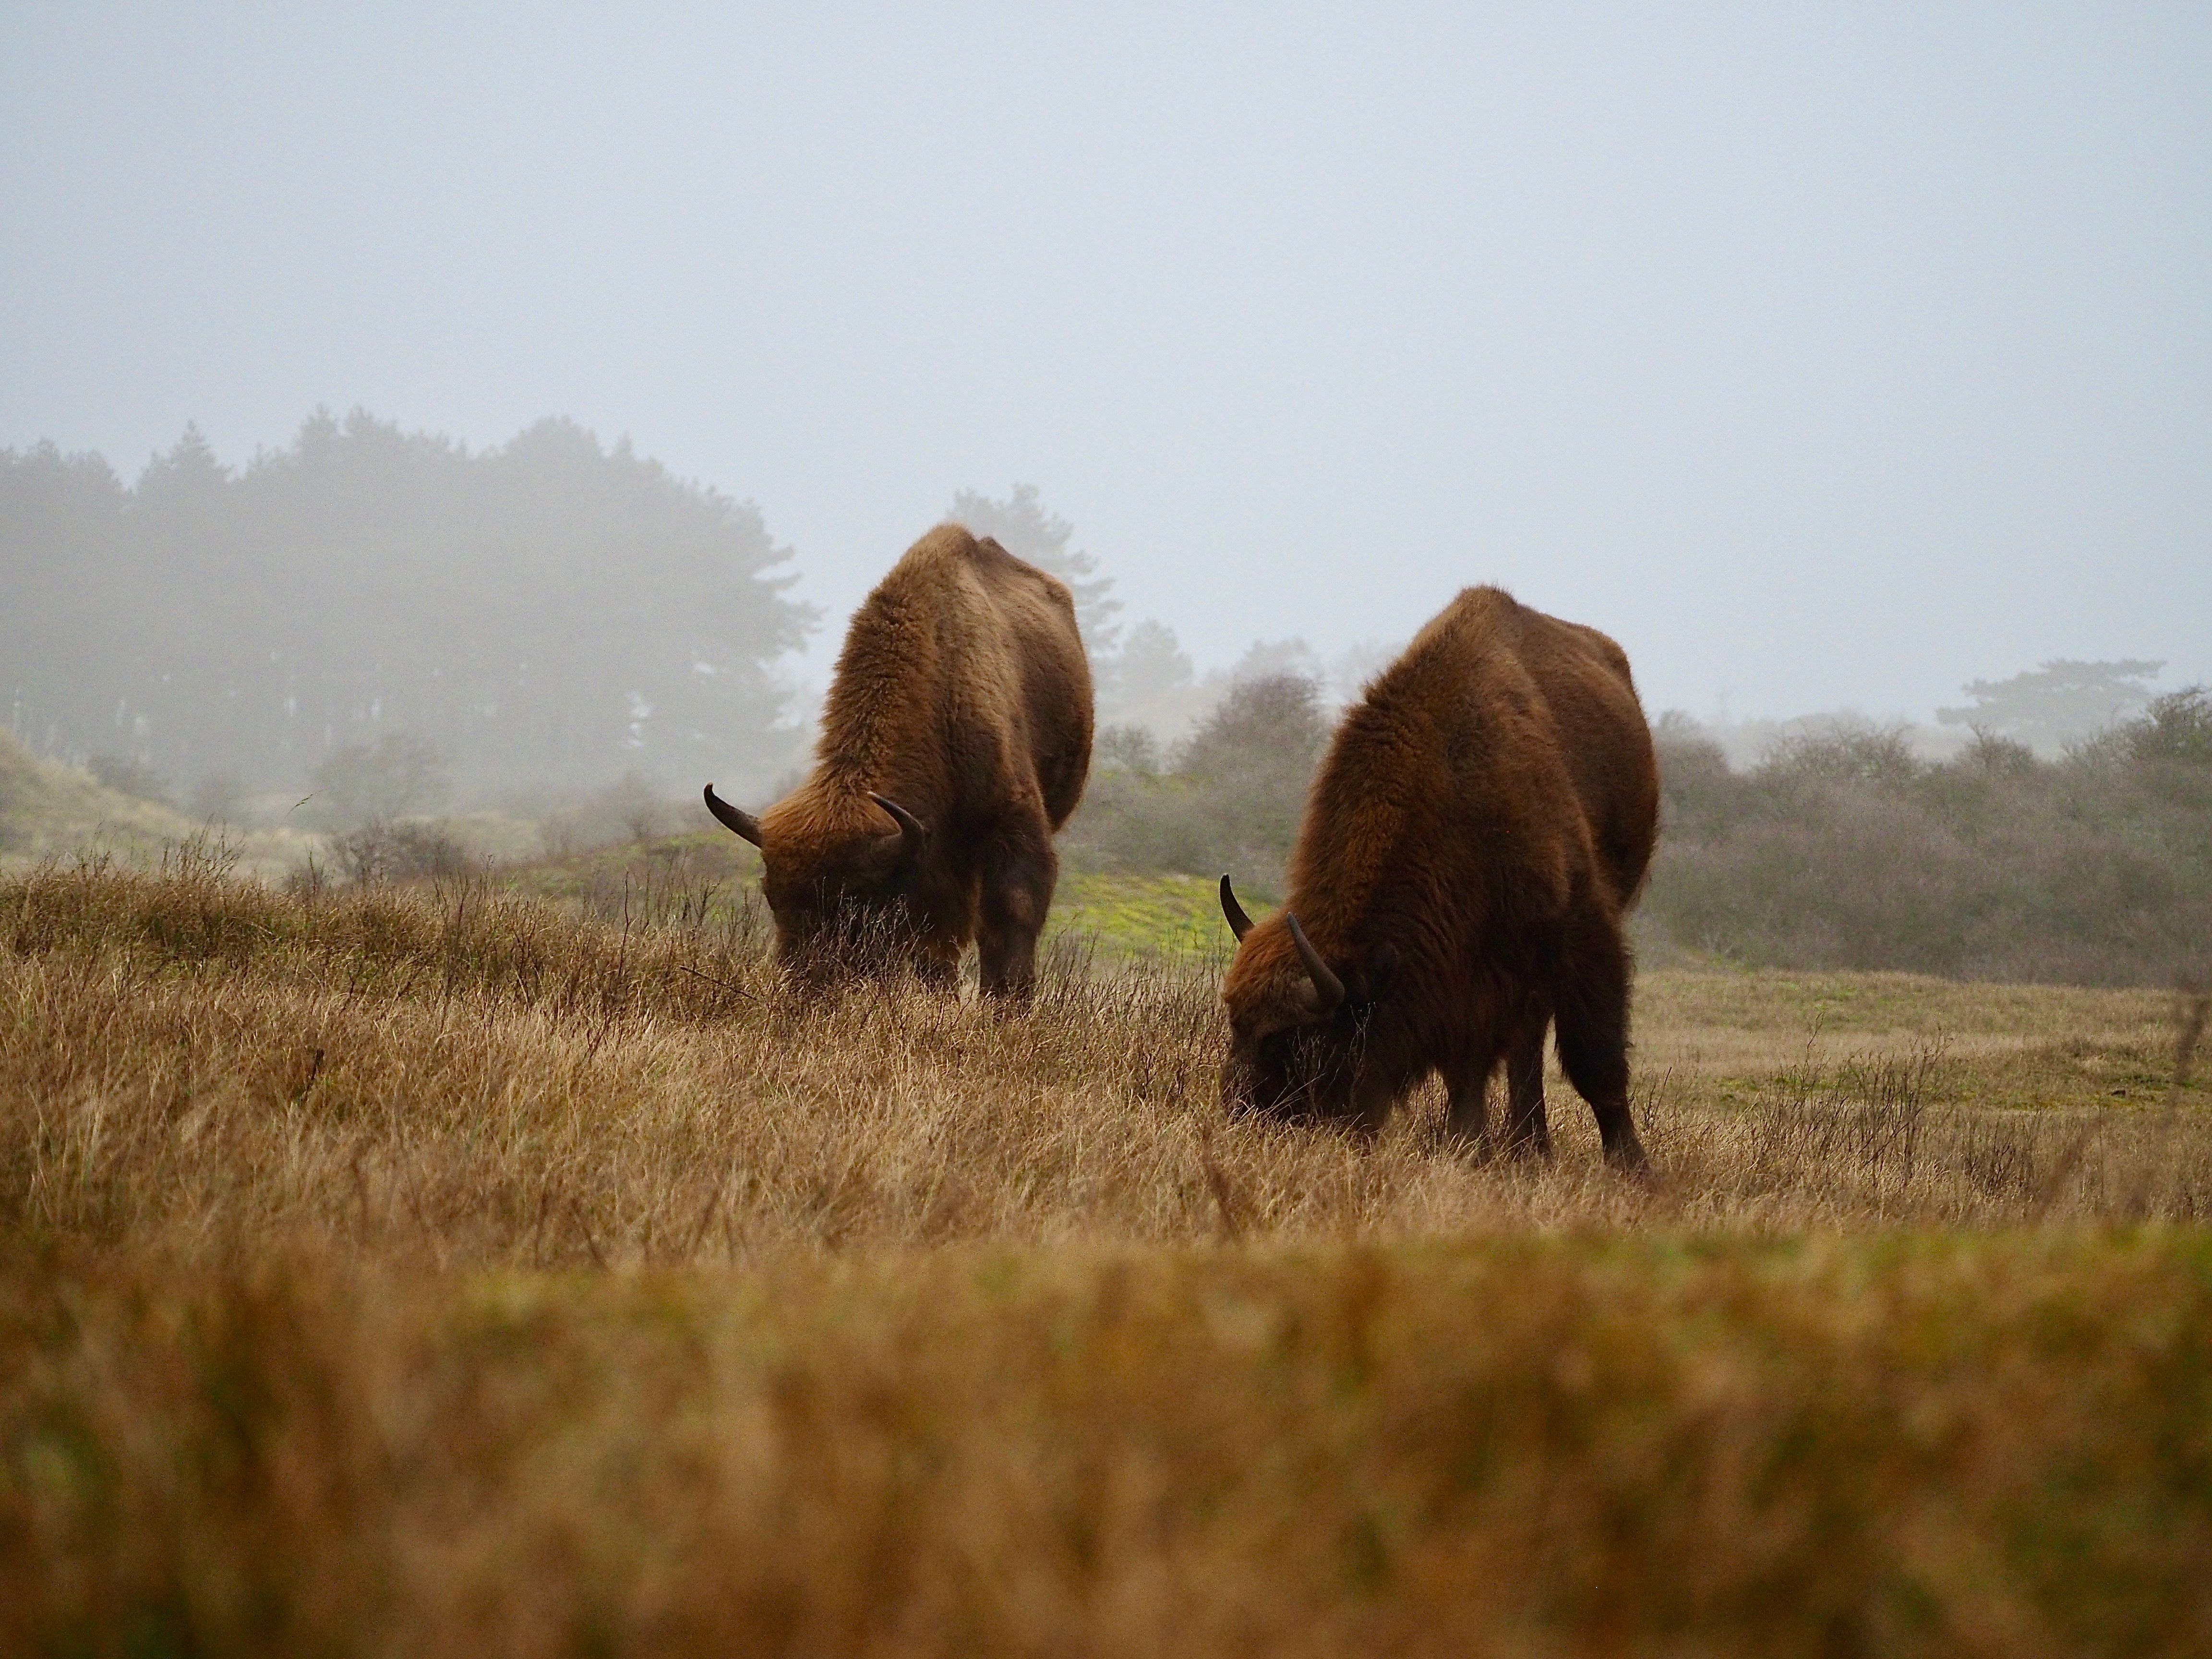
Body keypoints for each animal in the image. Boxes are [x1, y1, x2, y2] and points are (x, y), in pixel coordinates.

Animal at [705, 524, 1093, 998]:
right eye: (772, 897)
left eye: (857, 906)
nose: (805, 988)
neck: (938, 687)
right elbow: (936, 938)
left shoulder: (1010, 823)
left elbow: (1009, 916)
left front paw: (1008, 1004)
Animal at [1217, 585, 1658, 1170]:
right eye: (1235, 1024)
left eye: (1294, 1042)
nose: (1239, 1119)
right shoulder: (1462, 974)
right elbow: (1467, 1069)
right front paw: (1468, 1146)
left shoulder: (1580, 934)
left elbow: (1595, 1061)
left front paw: (1634, 1168)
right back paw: (1527, 1147)